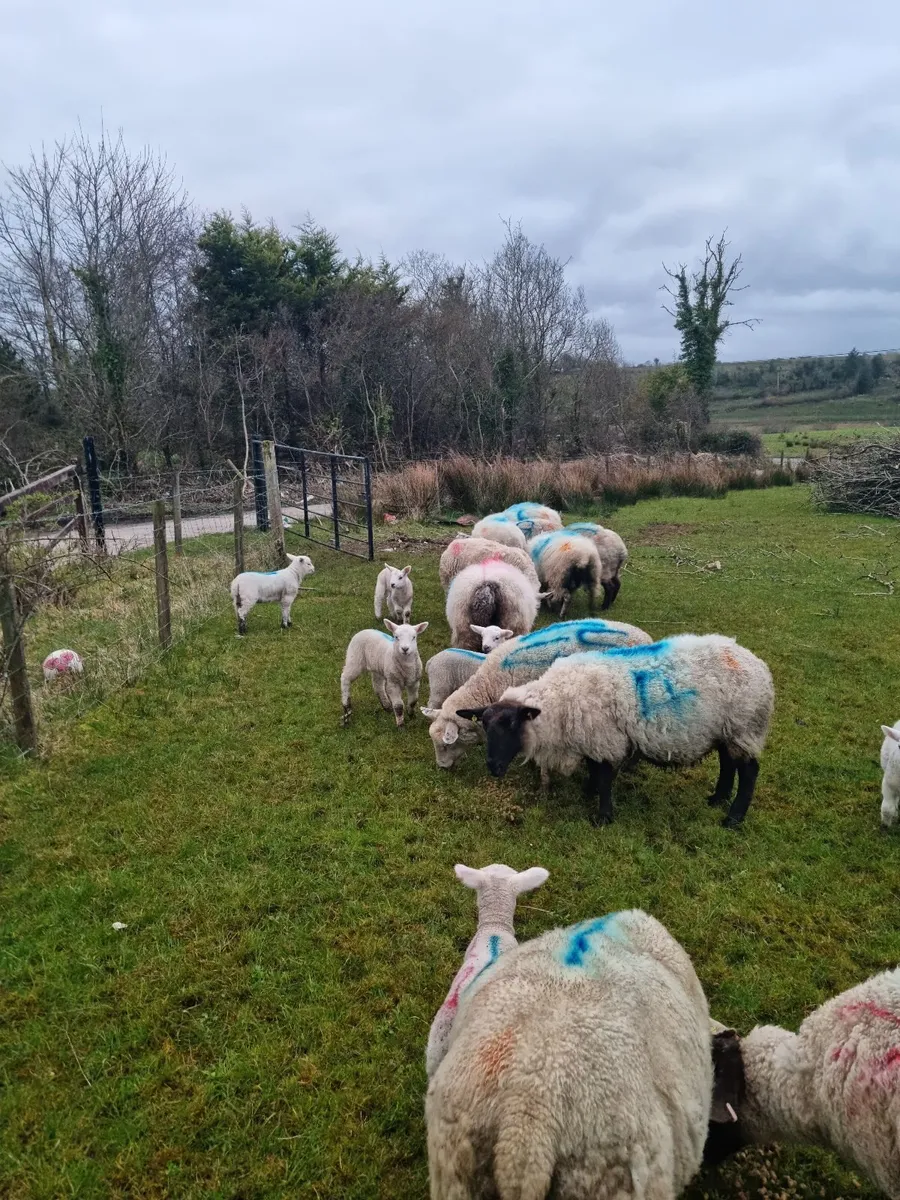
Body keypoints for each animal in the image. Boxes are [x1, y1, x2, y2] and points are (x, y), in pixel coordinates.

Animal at [459, 634, 774, 828]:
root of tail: (758, 664)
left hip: (745, 726)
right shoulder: (591, 737)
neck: (558, 699)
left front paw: (602, 816)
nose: (493, 767)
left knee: (749, 771)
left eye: (511, 724)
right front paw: (588, 791)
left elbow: (605, 777)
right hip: (727, 729)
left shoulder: (605, 739)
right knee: (727, 762)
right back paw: (717, 798)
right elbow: (593, 769)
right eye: (484, 725)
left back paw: (733, 817)